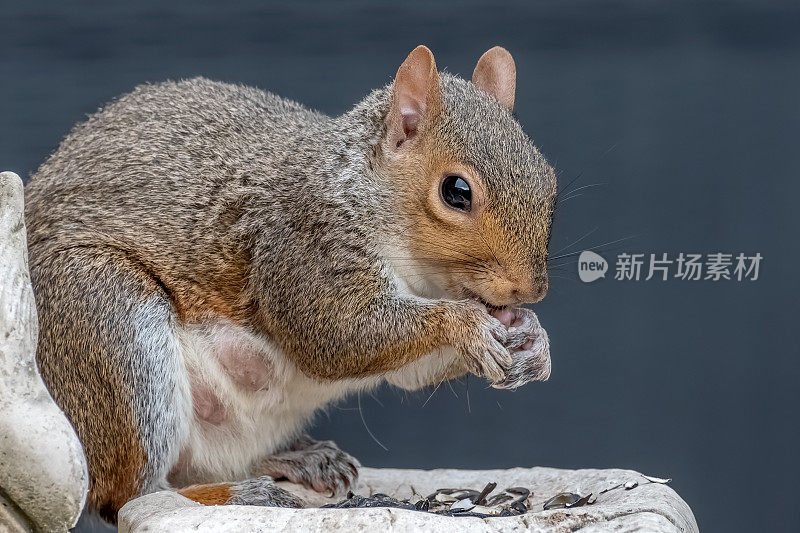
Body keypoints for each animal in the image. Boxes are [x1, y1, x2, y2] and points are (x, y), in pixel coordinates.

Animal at [23, 45, 556, 520]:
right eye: (456, 191)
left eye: (549, 179)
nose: (530, 291)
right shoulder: (302, 245)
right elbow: (334, 333)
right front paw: (467, 324)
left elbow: (408, 370)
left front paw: (532, 340)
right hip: (112, 327)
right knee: (133, 495)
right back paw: (242, 495)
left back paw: (300, 460)